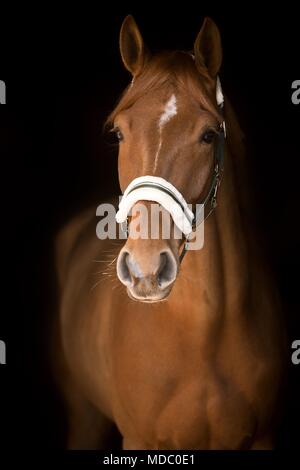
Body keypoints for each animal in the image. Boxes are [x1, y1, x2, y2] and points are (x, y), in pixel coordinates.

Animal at [54, 15, 286, 448]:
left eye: (209, 135)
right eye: (118, 133)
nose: (145, 269)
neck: (204, 331)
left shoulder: (262, 438)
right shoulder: (138, 440)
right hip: (84, 416)